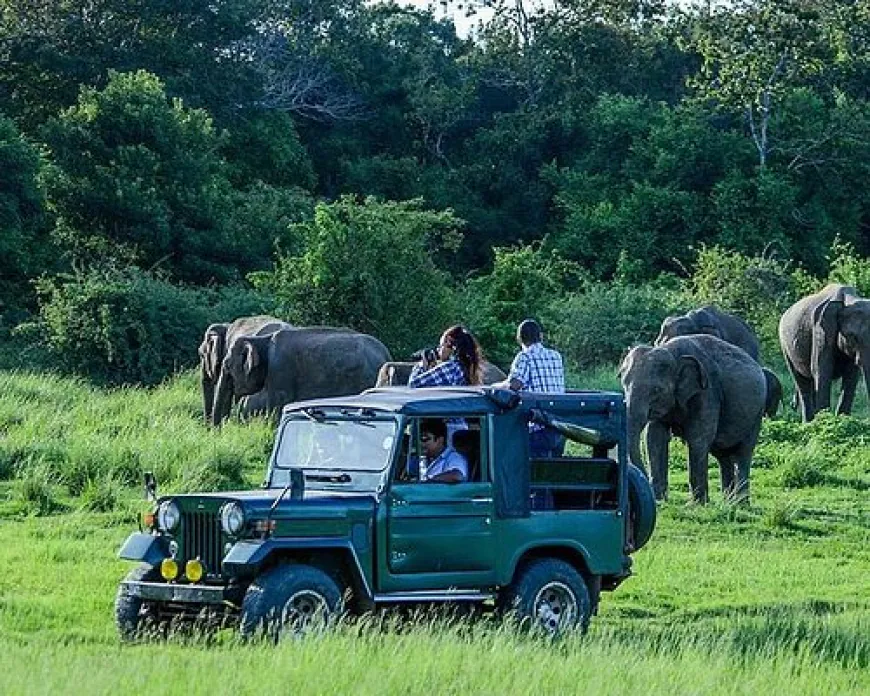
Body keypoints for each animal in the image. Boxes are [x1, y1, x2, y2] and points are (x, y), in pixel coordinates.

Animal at [211, 326, 392, 424]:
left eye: (227, 366)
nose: (219, 432)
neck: (261, 340)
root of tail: (386, 354)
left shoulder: (280, 370)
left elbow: (277, 406)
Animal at [620, 334, 768, 502]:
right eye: (624, 384)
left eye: (656, 390)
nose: (644, 484)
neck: (672, 352)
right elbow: (654, 437)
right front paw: (659, 500)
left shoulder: (707, 392)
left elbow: (698, 438)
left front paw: (696, 504)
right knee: (723, 456)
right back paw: (728, 502)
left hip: (757, 412)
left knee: (744, 453)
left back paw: (740, 503)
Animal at [780, 282, 870, 422]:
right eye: (852, 337)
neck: (848, 299)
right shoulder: (821, 329)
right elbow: (821, 370)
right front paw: (826, 420)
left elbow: (851, 376)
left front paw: (842, 420)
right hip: (785, 346)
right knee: (801, 382)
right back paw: (808, 423)